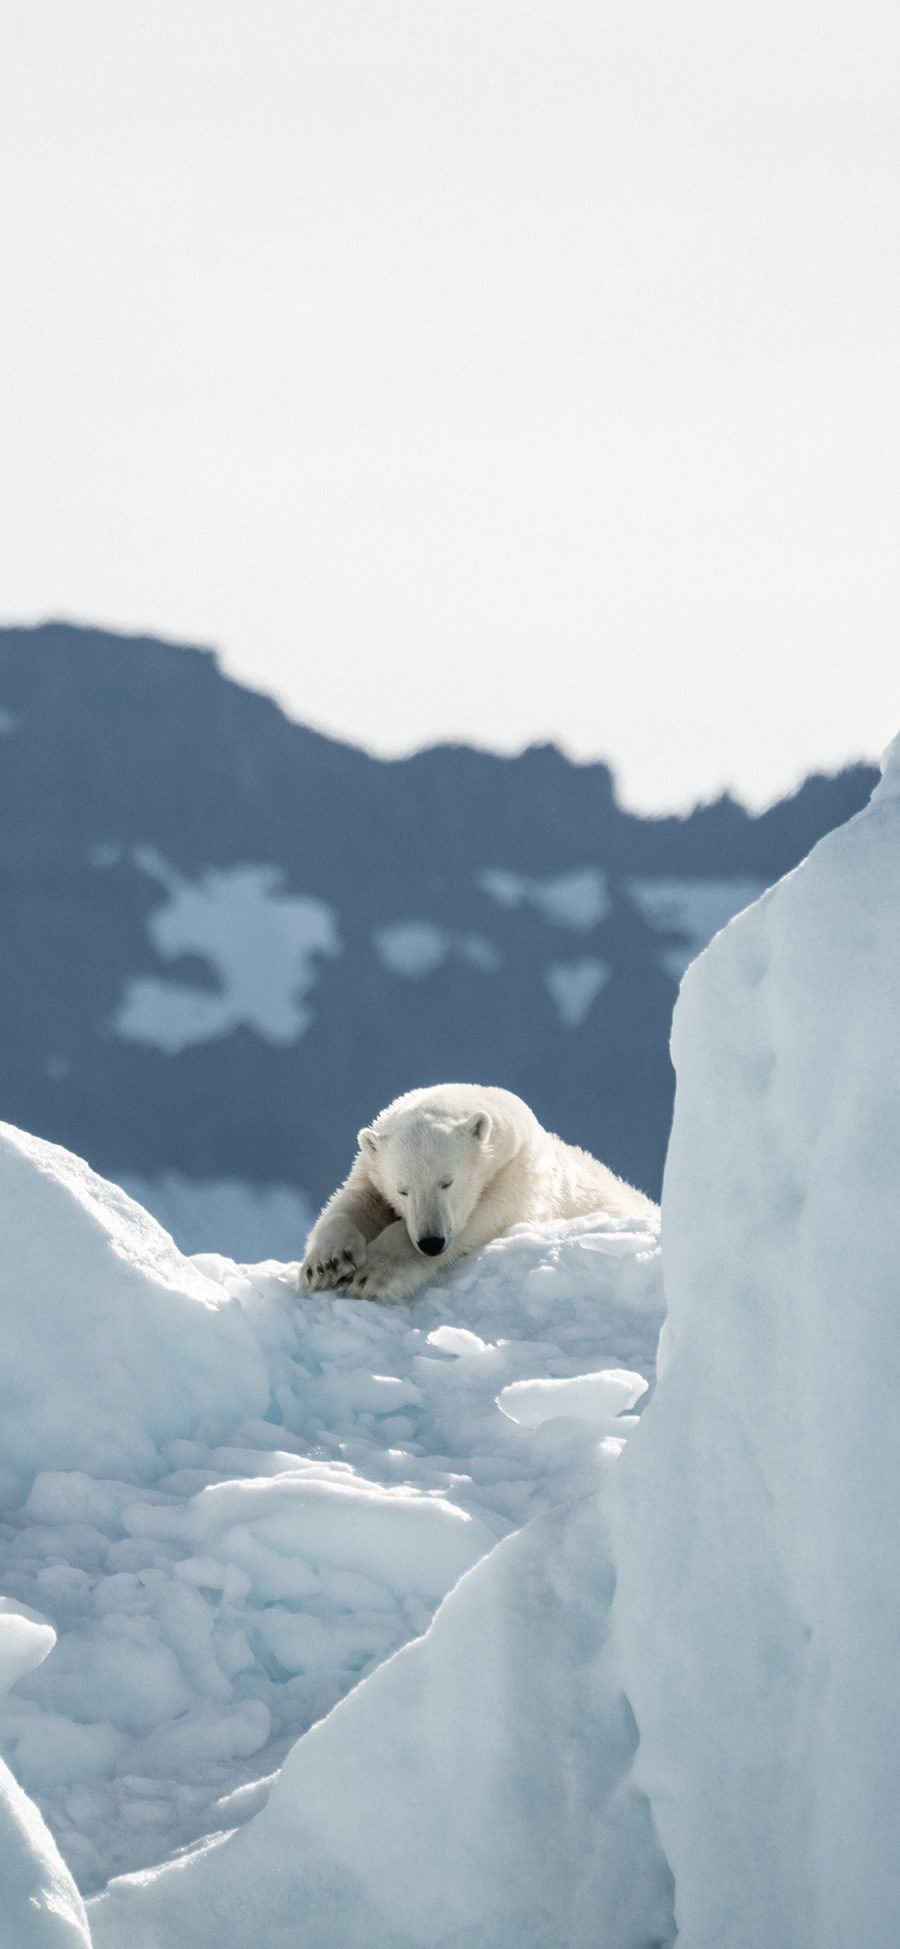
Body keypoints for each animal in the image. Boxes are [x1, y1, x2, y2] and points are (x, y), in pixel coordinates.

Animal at [296, 1091, 654, 1301]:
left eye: (447, 1182)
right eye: (403, 1189)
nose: (431, 1242)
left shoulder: (514, 1180)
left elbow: (476, 1221)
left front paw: (369, 1275)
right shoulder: (370, 1170)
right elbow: (353, 1202)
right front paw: (327, 1264)